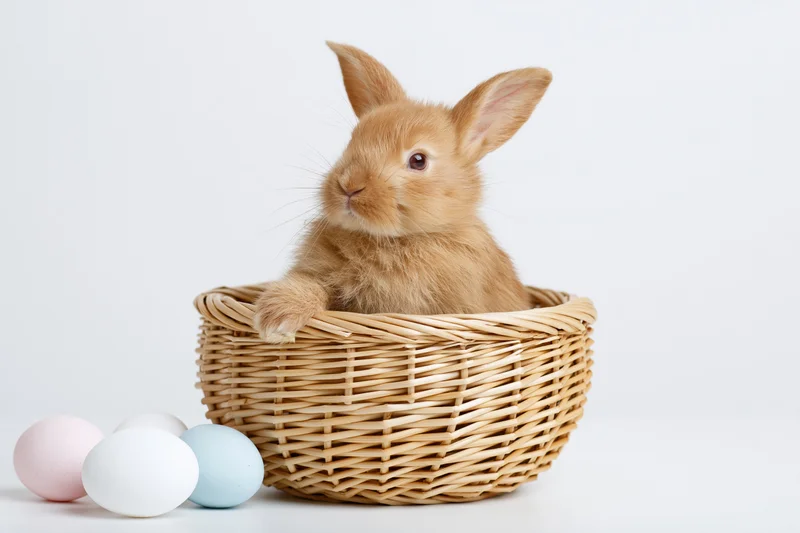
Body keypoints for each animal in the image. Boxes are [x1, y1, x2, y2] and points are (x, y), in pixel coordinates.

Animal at [254, 42, 552, 343]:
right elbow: (307, 284)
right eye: (352, 142)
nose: (349, 185)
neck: (392, 240)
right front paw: (275, 320)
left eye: (418, 160)